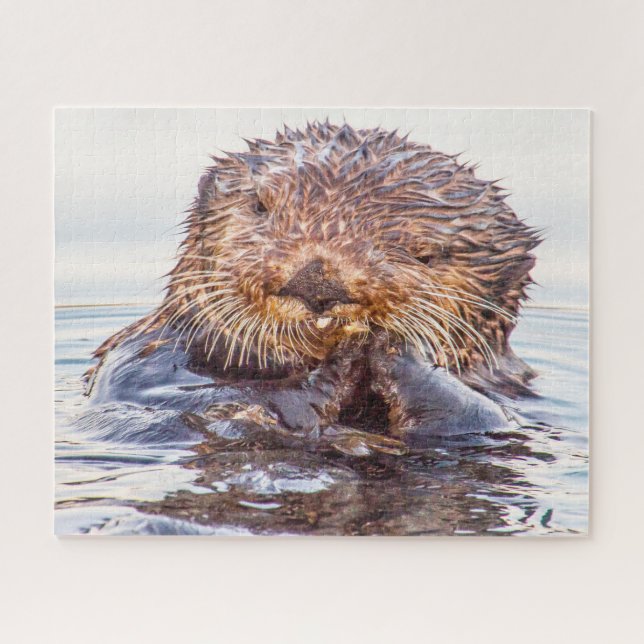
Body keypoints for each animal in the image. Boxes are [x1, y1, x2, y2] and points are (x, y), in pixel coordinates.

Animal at [85, 122, 540, 451]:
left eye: (424, 254)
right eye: (260, 205)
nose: (317, 281)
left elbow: (478, 416)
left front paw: (391, 348)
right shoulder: (141, 357)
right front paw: (348, 359)